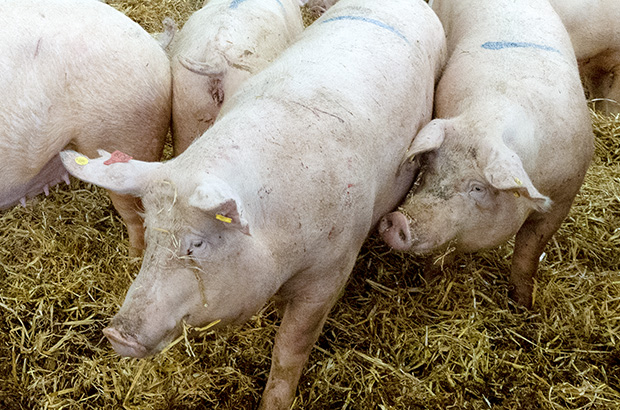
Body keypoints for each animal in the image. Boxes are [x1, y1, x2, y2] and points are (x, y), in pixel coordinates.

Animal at [376, 0, 592, 308]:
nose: (397, 220)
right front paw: (431, 279)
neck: (488, 121)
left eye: (477, 188)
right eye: (429, 167)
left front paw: (522, 304)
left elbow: (529, 250)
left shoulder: (564, 198)